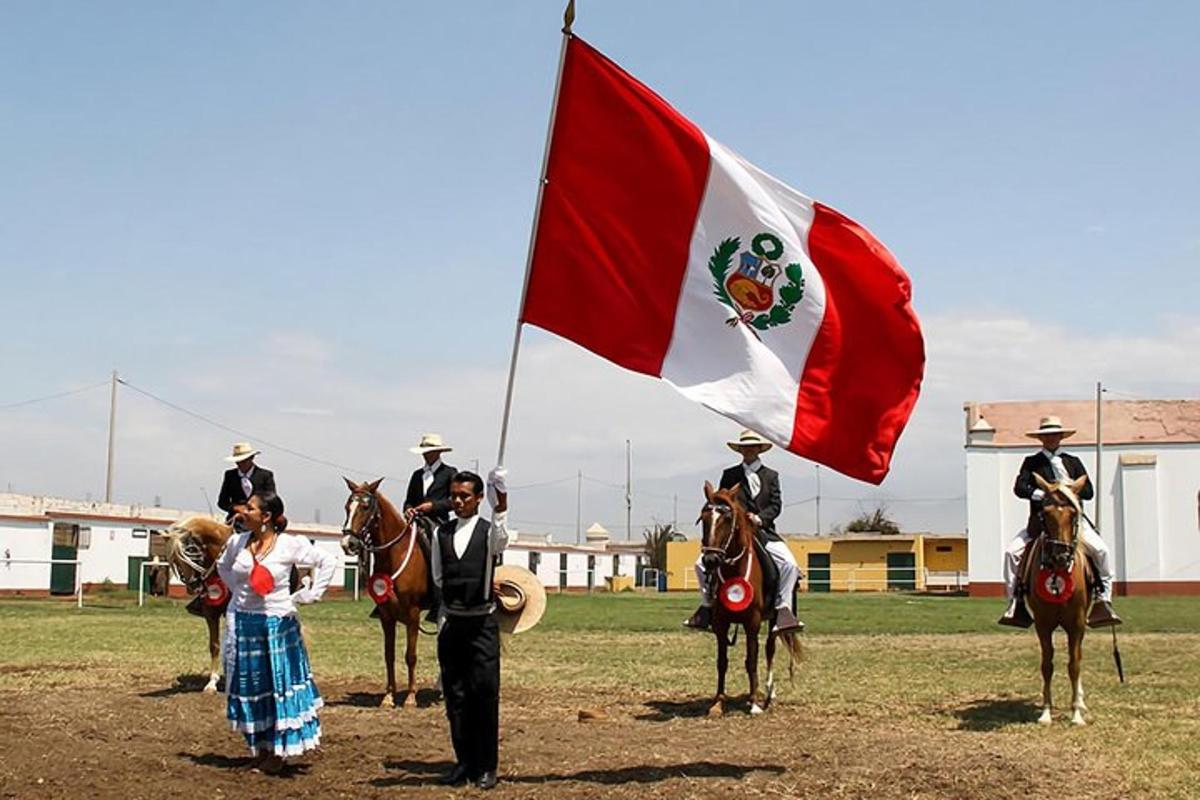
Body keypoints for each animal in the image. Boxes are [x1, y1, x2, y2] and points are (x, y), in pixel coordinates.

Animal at [159, 515, 234, 690]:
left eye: (192, 550)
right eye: (174, 561)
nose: (193, 586)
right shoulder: (210, 612)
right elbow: (214, 645)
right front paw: (212, 683)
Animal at [340, 474, 429, 705]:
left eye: (365, 506)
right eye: (347, 506)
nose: (347, 543)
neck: (395, 555)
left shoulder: (413, 614)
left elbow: (410, 656)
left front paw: (411, 697)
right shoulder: (386, 615)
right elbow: (389, 655)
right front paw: (389, 696)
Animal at [700, 482, 801, 719]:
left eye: (727, 519)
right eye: (704, 518)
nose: (710, 560)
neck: (733, 569)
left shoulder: (752, 622)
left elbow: (751, 660)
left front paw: (754, 703)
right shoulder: (720, 624)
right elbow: (722, 662)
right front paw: (718, 703)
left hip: (775, 619)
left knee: (770, 649)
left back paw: (768, 692)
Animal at [1017, 474, 1094, 724]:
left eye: (1073, 515)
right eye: (1045, 514)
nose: (1060, 557)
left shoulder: (1077, 624)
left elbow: (1074, 664)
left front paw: (1076, 713)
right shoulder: (1043, 624)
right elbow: (1047, 664)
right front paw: (1046, 712)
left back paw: (1081, 700)